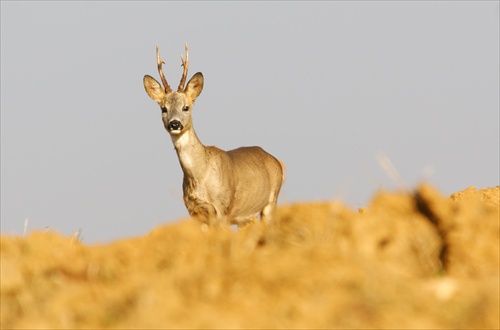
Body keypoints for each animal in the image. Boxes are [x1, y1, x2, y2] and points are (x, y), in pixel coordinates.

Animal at [145, 43, 286, 228]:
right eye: (164, 108)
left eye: (186, 107)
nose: (174, 124)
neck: (200, 176)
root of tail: (277, 162)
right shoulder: (194, 212)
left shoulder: (222, 208)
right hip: (246, 218)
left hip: (271, 202)